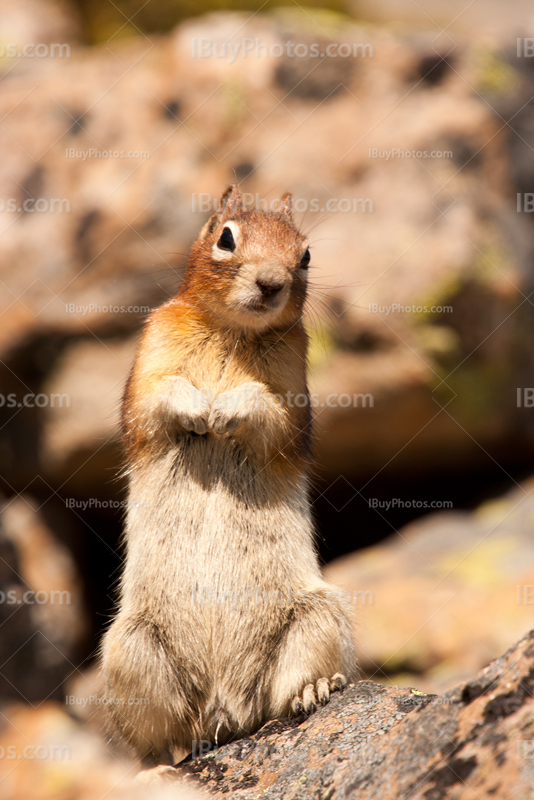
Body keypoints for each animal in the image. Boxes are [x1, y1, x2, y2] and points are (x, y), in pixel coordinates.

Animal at [100, 186, 360, 776]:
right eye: (225, 238)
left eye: (305, 254)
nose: (271, 282)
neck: (232, 330)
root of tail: (225, 708)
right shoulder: (152, 355)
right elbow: (157, 396)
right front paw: (201, 408)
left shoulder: (293, 388)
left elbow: (272, 412)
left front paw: (226, 409)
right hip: (132, 650)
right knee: (163, 737)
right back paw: (155, 767)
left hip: (318, 618)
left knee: (284, 693)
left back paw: (312, 691)